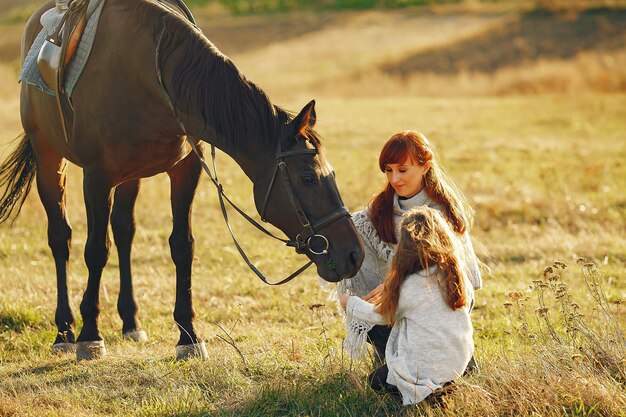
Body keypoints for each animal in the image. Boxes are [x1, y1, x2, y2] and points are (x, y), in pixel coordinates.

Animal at [0, 0, 364, 360]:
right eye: (307, 177)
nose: (354, 254)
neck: (152, 76)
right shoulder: (97, 177)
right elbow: (95, 250)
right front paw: (90, 335)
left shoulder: (185, 170)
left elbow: (182, 246)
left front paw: (188, 335)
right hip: (49, 159)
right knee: (61, 238)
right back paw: (64, 331)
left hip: (130, 176)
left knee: (124, 232)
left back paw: (130, 322)